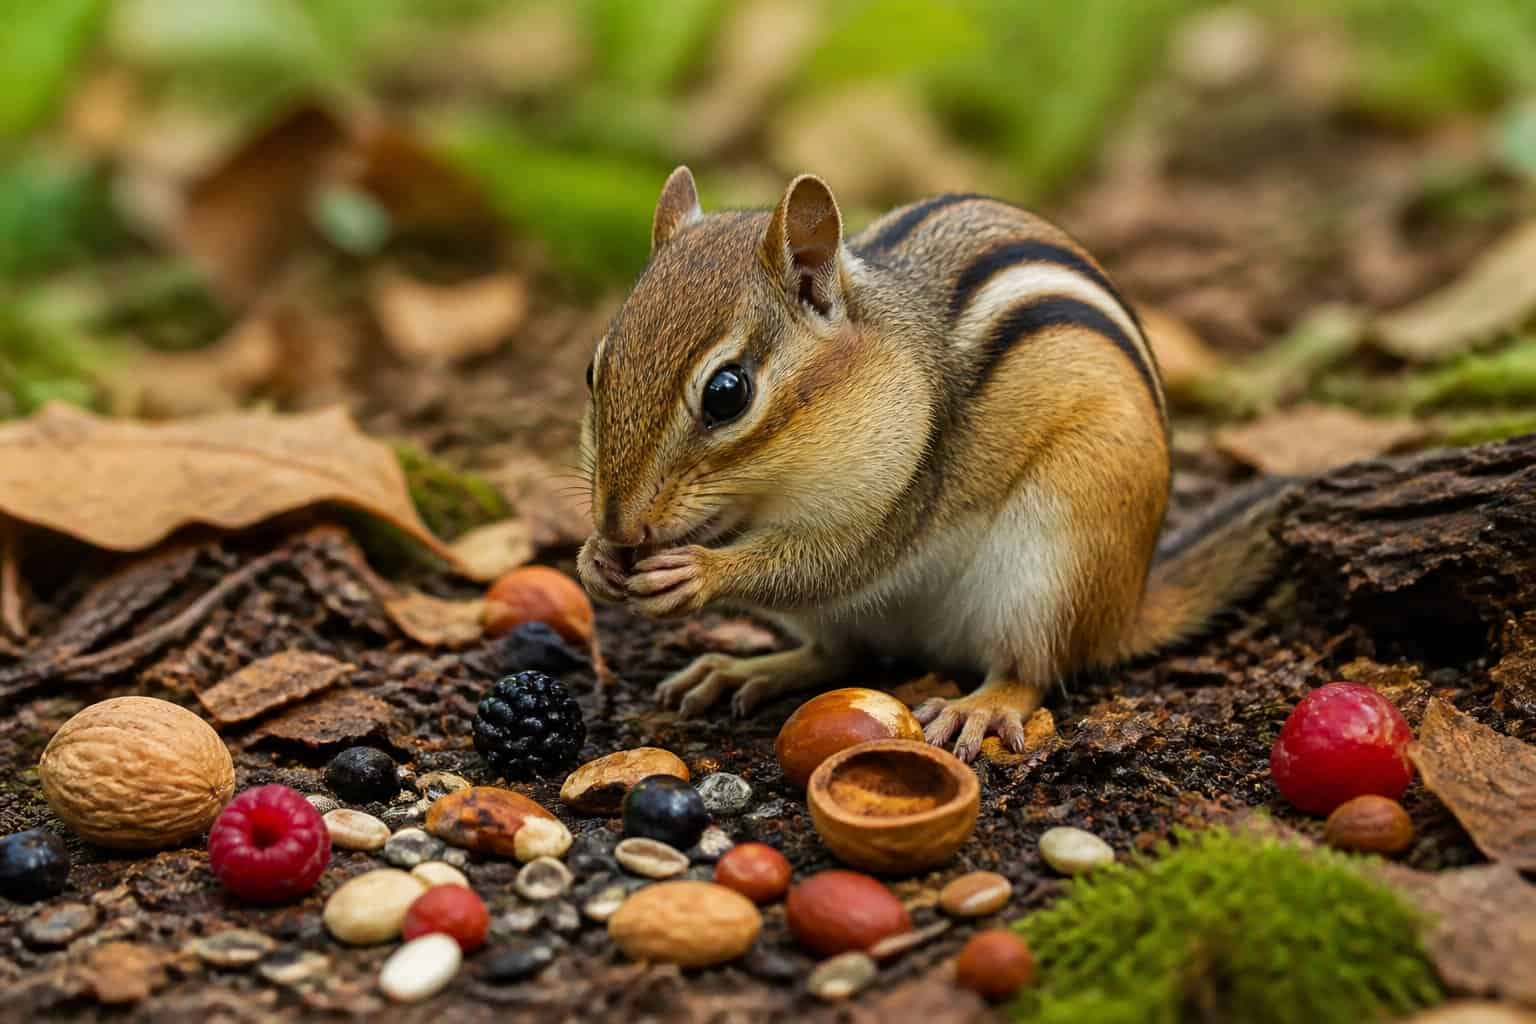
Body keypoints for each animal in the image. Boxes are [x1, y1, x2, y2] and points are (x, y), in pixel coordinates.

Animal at [577, 166, 1290, 763]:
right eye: (593, 370)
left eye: (728, 393)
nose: (618, 527)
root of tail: (1127, 607)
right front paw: (595, 562)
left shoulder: (901, 489)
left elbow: (829, 563)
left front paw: (697, 571)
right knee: (837, 652)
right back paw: (746, 669)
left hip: (1054, 561)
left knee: (1031, 670)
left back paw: (982, 706)